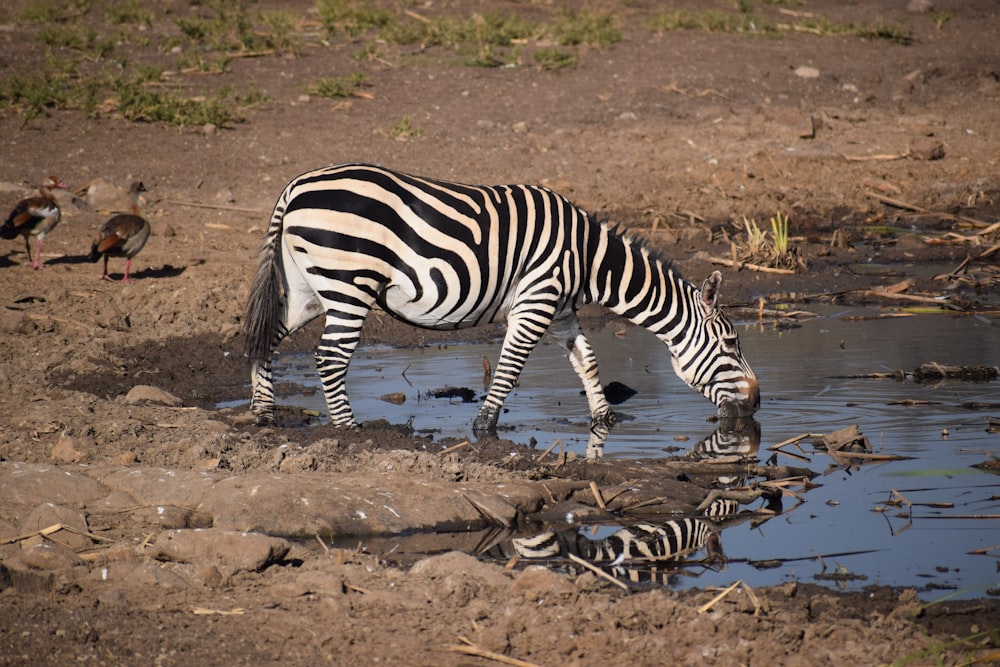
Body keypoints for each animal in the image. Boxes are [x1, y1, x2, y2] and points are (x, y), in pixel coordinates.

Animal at [242, 164, 756, 430]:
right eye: (731, 344)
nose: (756, 406)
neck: (587, 259)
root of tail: (295, 186)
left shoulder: (561, 311)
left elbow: (587, 361)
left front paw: (605, 418)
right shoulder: (536, 303)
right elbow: (509, 370)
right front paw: (484, 428)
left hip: (309, 289)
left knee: (267, 336)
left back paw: (264, 412)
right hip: (349, 283)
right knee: (329, 357)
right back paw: (351, 431)